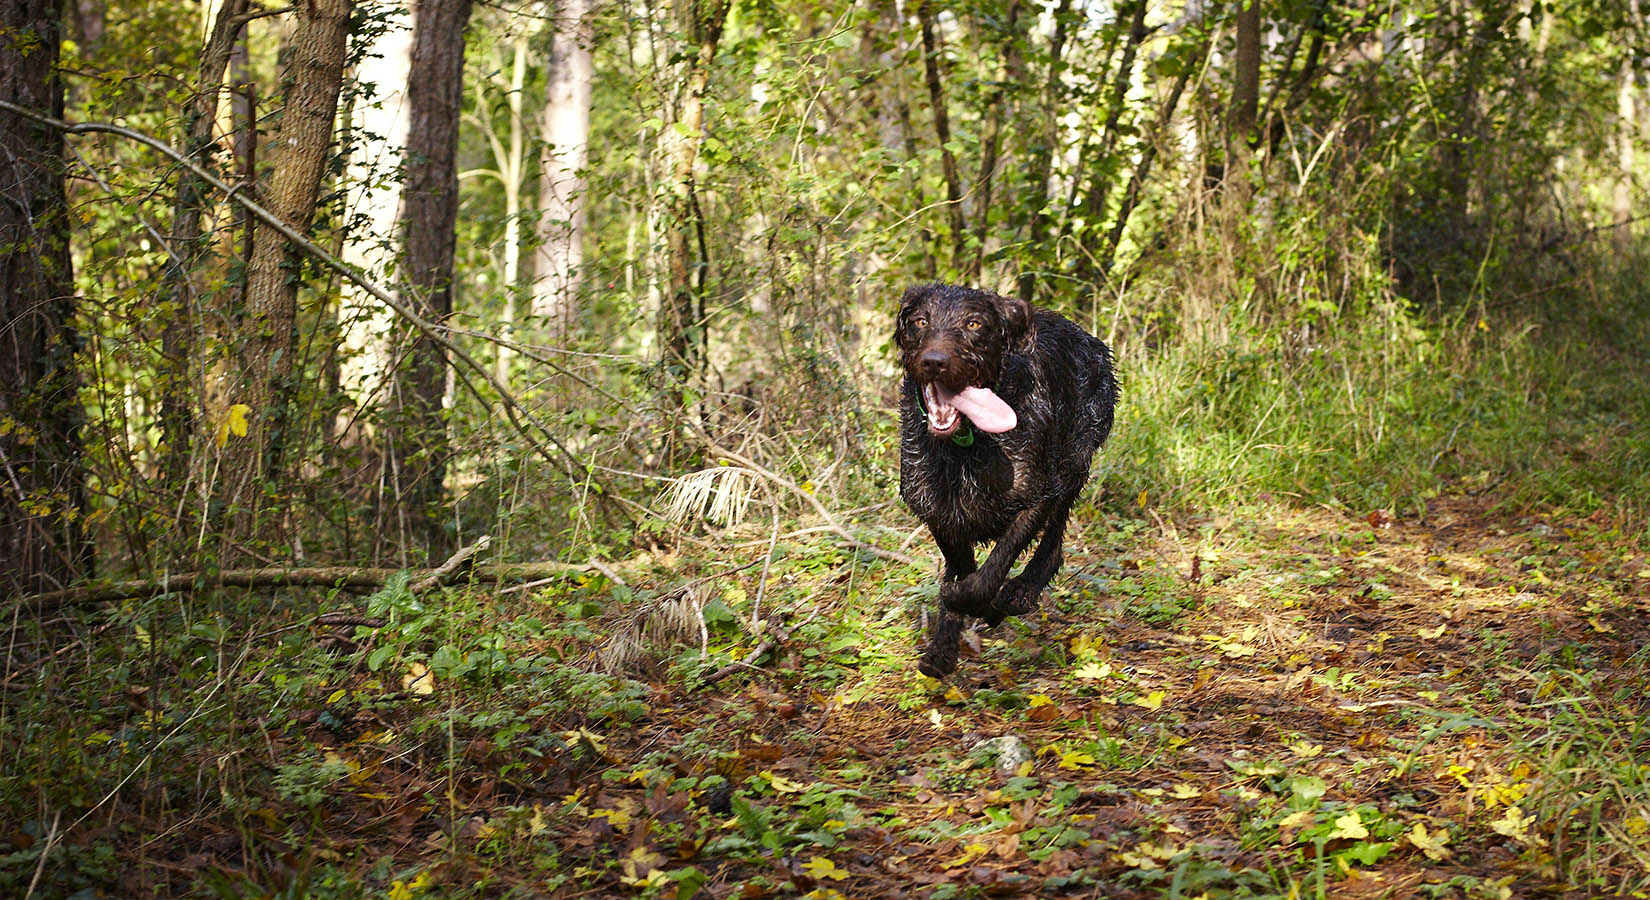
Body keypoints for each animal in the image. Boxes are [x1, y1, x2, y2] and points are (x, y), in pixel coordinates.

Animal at [897, 282, 1115, 673]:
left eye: (973, 323)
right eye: (920, 321)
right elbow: (961, 567)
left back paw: (1020, 591)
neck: (967, 443)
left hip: (1074, 464)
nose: (934, 360)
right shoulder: (939, 512)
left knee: (1052, 547)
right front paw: (943, 646)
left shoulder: (1037, 496)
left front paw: (983, 601)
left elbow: (988, 574)